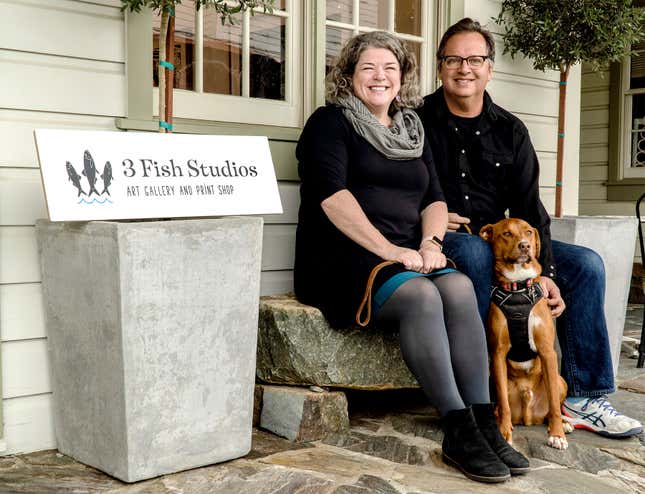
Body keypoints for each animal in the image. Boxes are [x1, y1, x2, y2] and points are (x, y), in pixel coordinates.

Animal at [478, 218, 568, 450]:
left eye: (528, 231)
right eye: (507, 233)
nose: (525, 245)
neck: (518, 288)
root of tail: (528, 417)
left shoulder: (547, 352)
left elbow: (554, 404)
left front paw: (557, 435)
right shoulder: (498, 354)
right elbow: (503, 403)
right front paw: (504, 433)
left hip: (560, 380)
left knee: (553, 407)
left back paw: (564, 424)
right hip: (491, 380)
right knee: (500, 406)